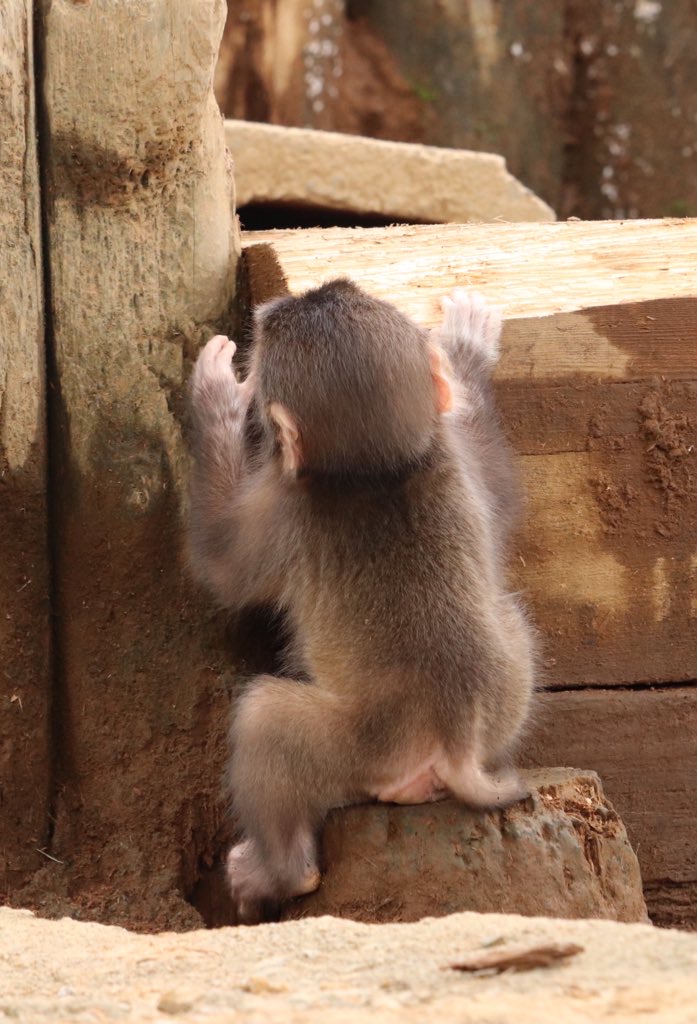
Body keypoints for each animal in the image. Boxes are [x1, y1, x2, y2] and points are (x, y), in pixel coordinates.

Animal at [185, 278, 532, 921]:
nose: (281, 302)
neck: (380, 471)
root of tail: (455, 740)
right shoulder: (454, 456)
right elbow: (497, 492)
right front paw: (468, 355)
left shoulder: (285, 508)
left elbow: (218, 565)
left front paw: (215, 397)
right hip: (507, 695)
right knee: (511, 618)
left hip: (365, 749)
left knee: (266, 720)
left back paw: (280, 872)